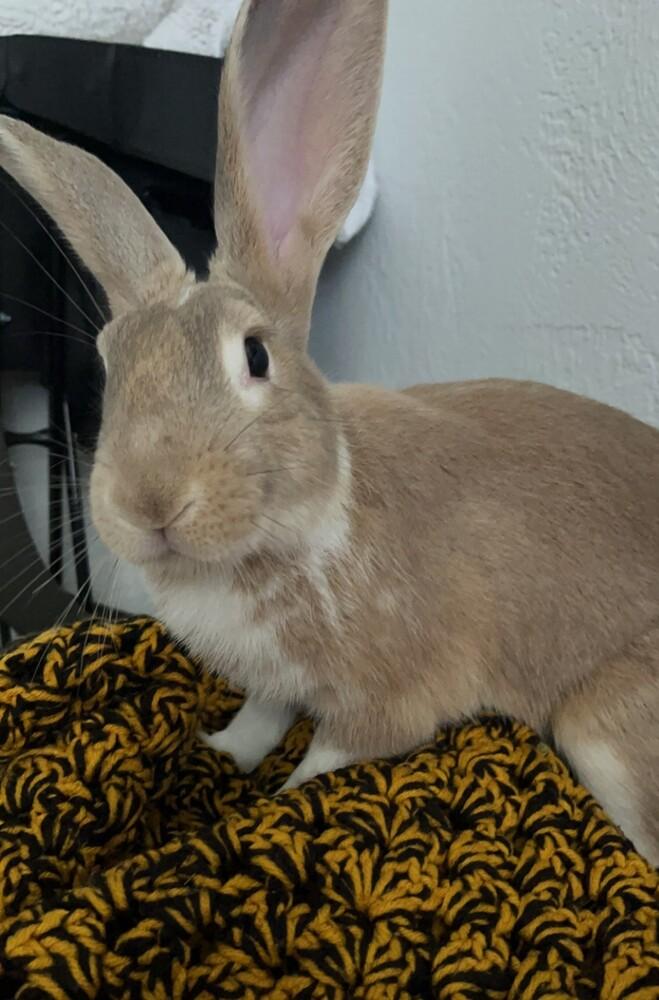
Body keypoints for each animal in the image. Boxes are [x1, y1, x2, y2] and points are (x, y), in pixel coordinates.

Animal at [0, 0, 657, 866]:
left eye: (254, 356)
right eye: (109, 363)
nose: (149, 504)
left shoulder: (385, 699)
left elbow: (326, 758)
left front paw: (275, 801)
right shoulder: (273, 681)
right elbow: (260, 721)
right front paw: (219, 751)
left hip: (601, 731)